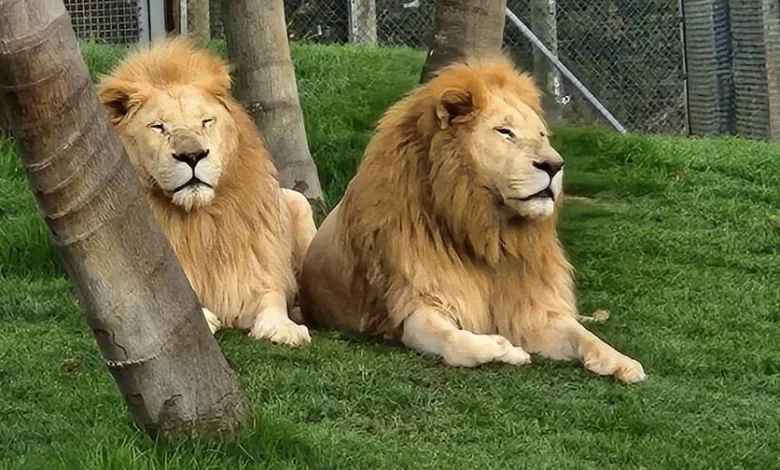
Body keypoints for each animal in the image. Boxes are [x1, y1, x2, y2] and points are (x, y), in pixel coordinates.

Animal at [97, 39, 316, 346]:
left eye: (205, 121)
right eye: (159, 127)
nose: (192, 156)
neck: (202, 222)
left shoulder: (257, 273)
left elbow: (272, 298)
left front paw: (284, 328)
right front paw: (206, 318)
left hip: (298, 202)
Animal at [300, 56, 646, 383]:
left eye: (541, 135)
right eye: (505, 132)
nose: (554, 165)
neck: (487, 232)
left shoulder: (531, 309)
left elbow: (580, 335)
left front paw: (624, 362)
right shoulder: (417, 303)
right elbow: (455, 341)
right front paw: (507, 349)